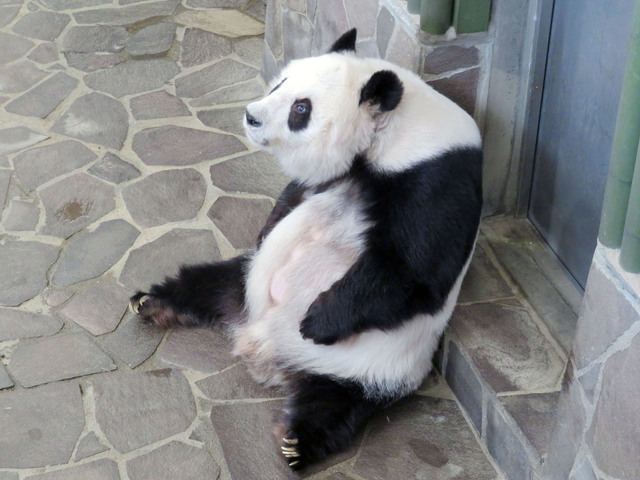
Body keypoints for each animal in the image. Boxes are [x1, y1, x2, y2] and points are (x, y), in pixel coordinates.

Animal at [132, 29, 482, 468]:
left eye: (301, 108)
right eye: (279, 84)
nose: (252, 116)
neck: (391, 132)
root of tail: (260, 345)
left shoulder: (435, 177)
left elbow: (412, 272)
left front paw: (316, 321)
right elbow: (293, 196)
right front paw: (270, 225)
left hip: (376, 362)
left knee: (339, 402)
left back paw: (297, 441)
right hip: (246, 281)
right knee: (206, 282)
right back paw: (153, 302)